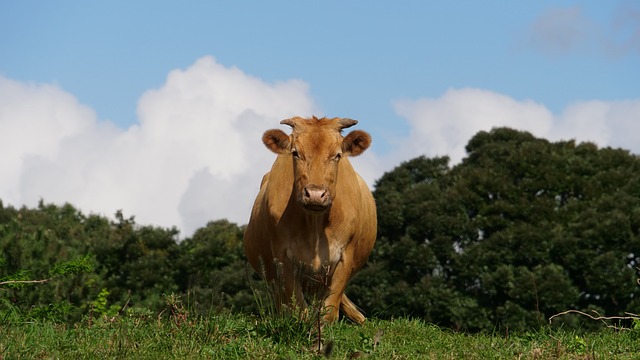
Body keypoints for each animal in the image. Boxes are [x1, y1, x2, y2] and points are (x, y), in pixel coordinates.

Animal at [244, 116, 376, 324]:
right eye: (295, 153)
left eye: (337, 155)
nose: (315, 194)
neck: (314, 228)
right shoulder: (282, 257)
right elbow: (298, 308)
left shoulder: (345, 256)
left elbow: (329, 310)